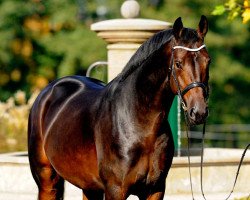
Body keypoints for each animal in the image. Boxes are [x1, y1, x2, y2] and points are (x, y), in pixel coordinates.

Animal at [28, 16, 210, 200]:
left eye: (207, 61)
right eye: (178, 63)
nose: (199, 112)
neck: (138, 123)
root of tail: (47, 91)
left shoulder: (155, 189)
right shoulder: (115, 190)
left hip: (89, 186)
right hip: (47, 182)